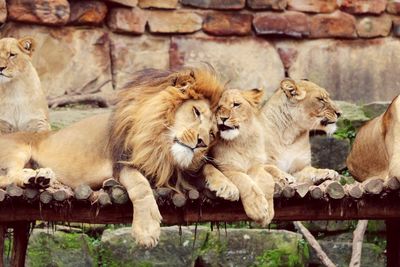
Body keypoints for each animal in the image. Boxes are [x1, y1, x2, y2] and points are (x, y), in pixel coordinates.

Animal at [0, 67, 234, 249]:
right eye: (196, 111)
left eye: (212, 133)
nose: (201, 142)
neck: (161, 146)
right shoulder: (122, 163)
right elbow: (141, 186)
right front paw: (147, 230)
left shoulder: (175, 169)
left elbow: (205, 167)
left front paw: (226, 184)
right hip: (18, 151)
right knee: (7, 176)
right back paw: (34, 178)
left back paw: (43, 177)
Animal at [203, 88, 276, 226]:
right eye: (219, 107)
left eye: (236, 104)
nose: (223, 118)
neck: (241, 142)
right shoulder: (228, 169)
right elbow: (244, 181)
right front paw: (258, 209)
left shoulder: (256, 167)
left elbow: (268, 181)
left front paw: (268, 212)